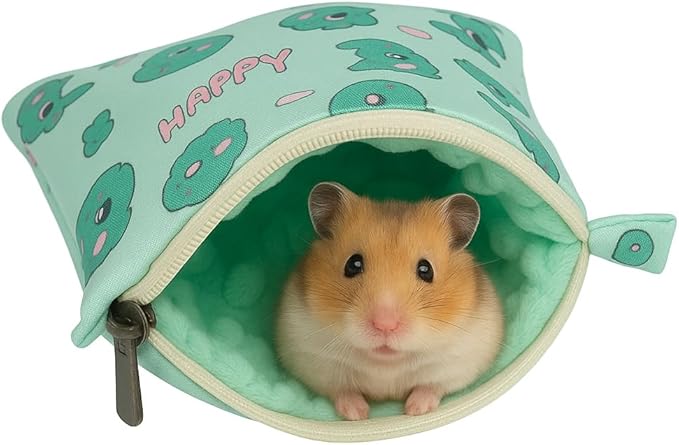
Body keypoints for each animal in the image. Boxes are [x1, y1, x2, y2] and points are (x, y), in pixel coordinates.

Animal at [275, 182, 504, 420]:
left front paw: (415, 410)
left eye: (426, 270)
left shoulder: (458, 361)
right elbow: (342, 390)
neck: (386, 363)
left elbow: (432, 386)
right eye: (353, 264)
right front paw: (358, 414)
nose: (385, 325)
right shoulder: (315, 361)